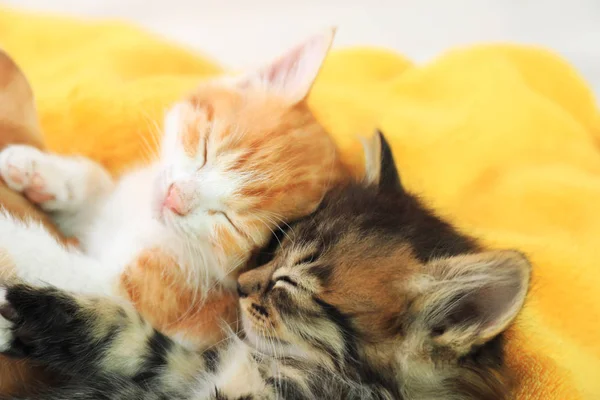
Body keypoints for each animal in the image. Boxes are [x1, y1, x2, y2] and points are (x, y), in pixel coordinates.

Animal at [0, 28, 350, 346]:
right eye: (207, 148)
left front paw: (11, 235)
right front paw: (39, 171)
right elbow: (97, 187)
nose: (174, 198)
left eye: (232, 223)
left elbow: (49, 263)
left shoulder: (134, 298)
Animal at [0, 133, 528, 398]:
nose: (240, 284)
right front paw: (25, 318)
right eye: (275, 246)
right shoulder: (187, 369)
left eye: (289, 284)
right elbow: (130, 338)